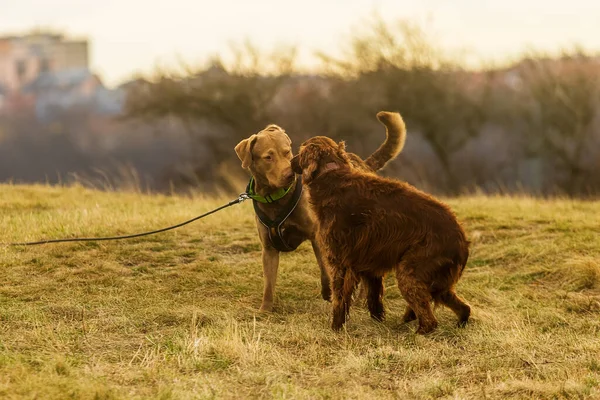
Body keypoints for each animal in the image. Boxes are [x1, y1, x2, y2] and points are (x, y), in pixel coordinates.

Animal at [237, 111, 406, 310]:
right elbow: (269, 284)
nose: (289, 175)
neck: (276, 198)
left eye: (287, 152)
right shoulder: (268, 249)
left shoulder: (317, 236)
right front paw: (265, 309)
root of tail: (363, 165)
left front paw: (328, 293)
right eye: (268, 157)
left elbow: (325, 271)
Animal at [292, 134, 472, 334]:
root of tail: (462, 240)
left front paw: (336, 327)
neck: (331, 175)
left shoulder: (338, 262)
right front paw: (376, 322)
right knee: (463, 308)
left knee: (429, 321)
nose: (291, 162)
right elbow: (374, 300)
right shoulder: (368, 265)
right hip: (437, 284)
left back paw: (414, 334)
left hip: (410, 273)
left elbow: (339, 299)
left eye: (300, 151)